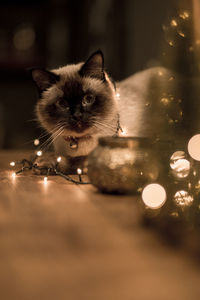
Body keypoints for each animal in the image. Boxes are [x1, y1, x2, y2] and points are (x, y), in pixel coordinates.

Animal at [31, 49, 177, 173]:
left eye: (88, 99)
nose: (77, 115)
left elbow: (75, 161)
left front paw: (44, 163)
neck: (77, 144)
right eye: (62, 104)